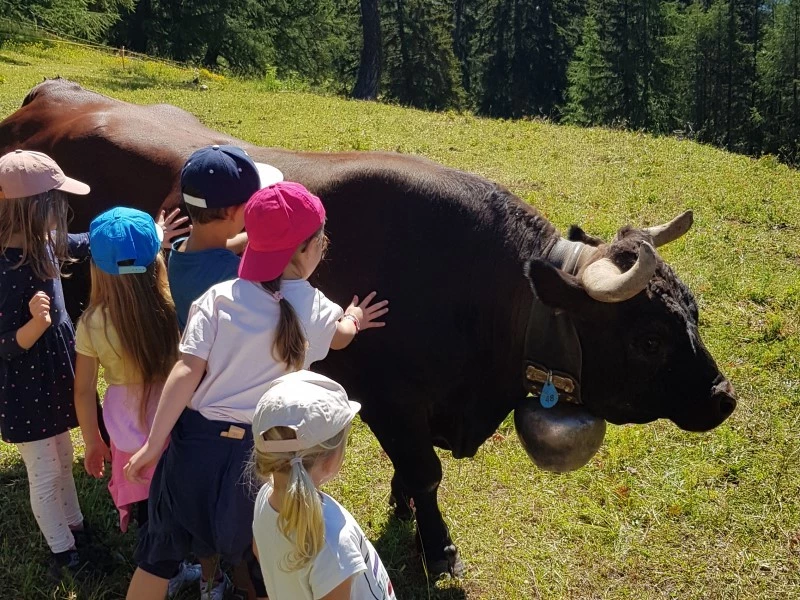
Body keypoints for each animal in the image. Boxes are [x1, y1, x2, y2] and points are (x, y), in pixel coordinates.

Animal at [0, 79, 737, 578]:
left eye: (694, 311)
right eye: (648, 339)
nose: (724, 397)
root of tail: (50, 94)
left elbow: (413, 474)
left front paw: (405, 511)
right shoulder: (390, 396)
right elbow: (426, 471)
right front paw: (439, 548)